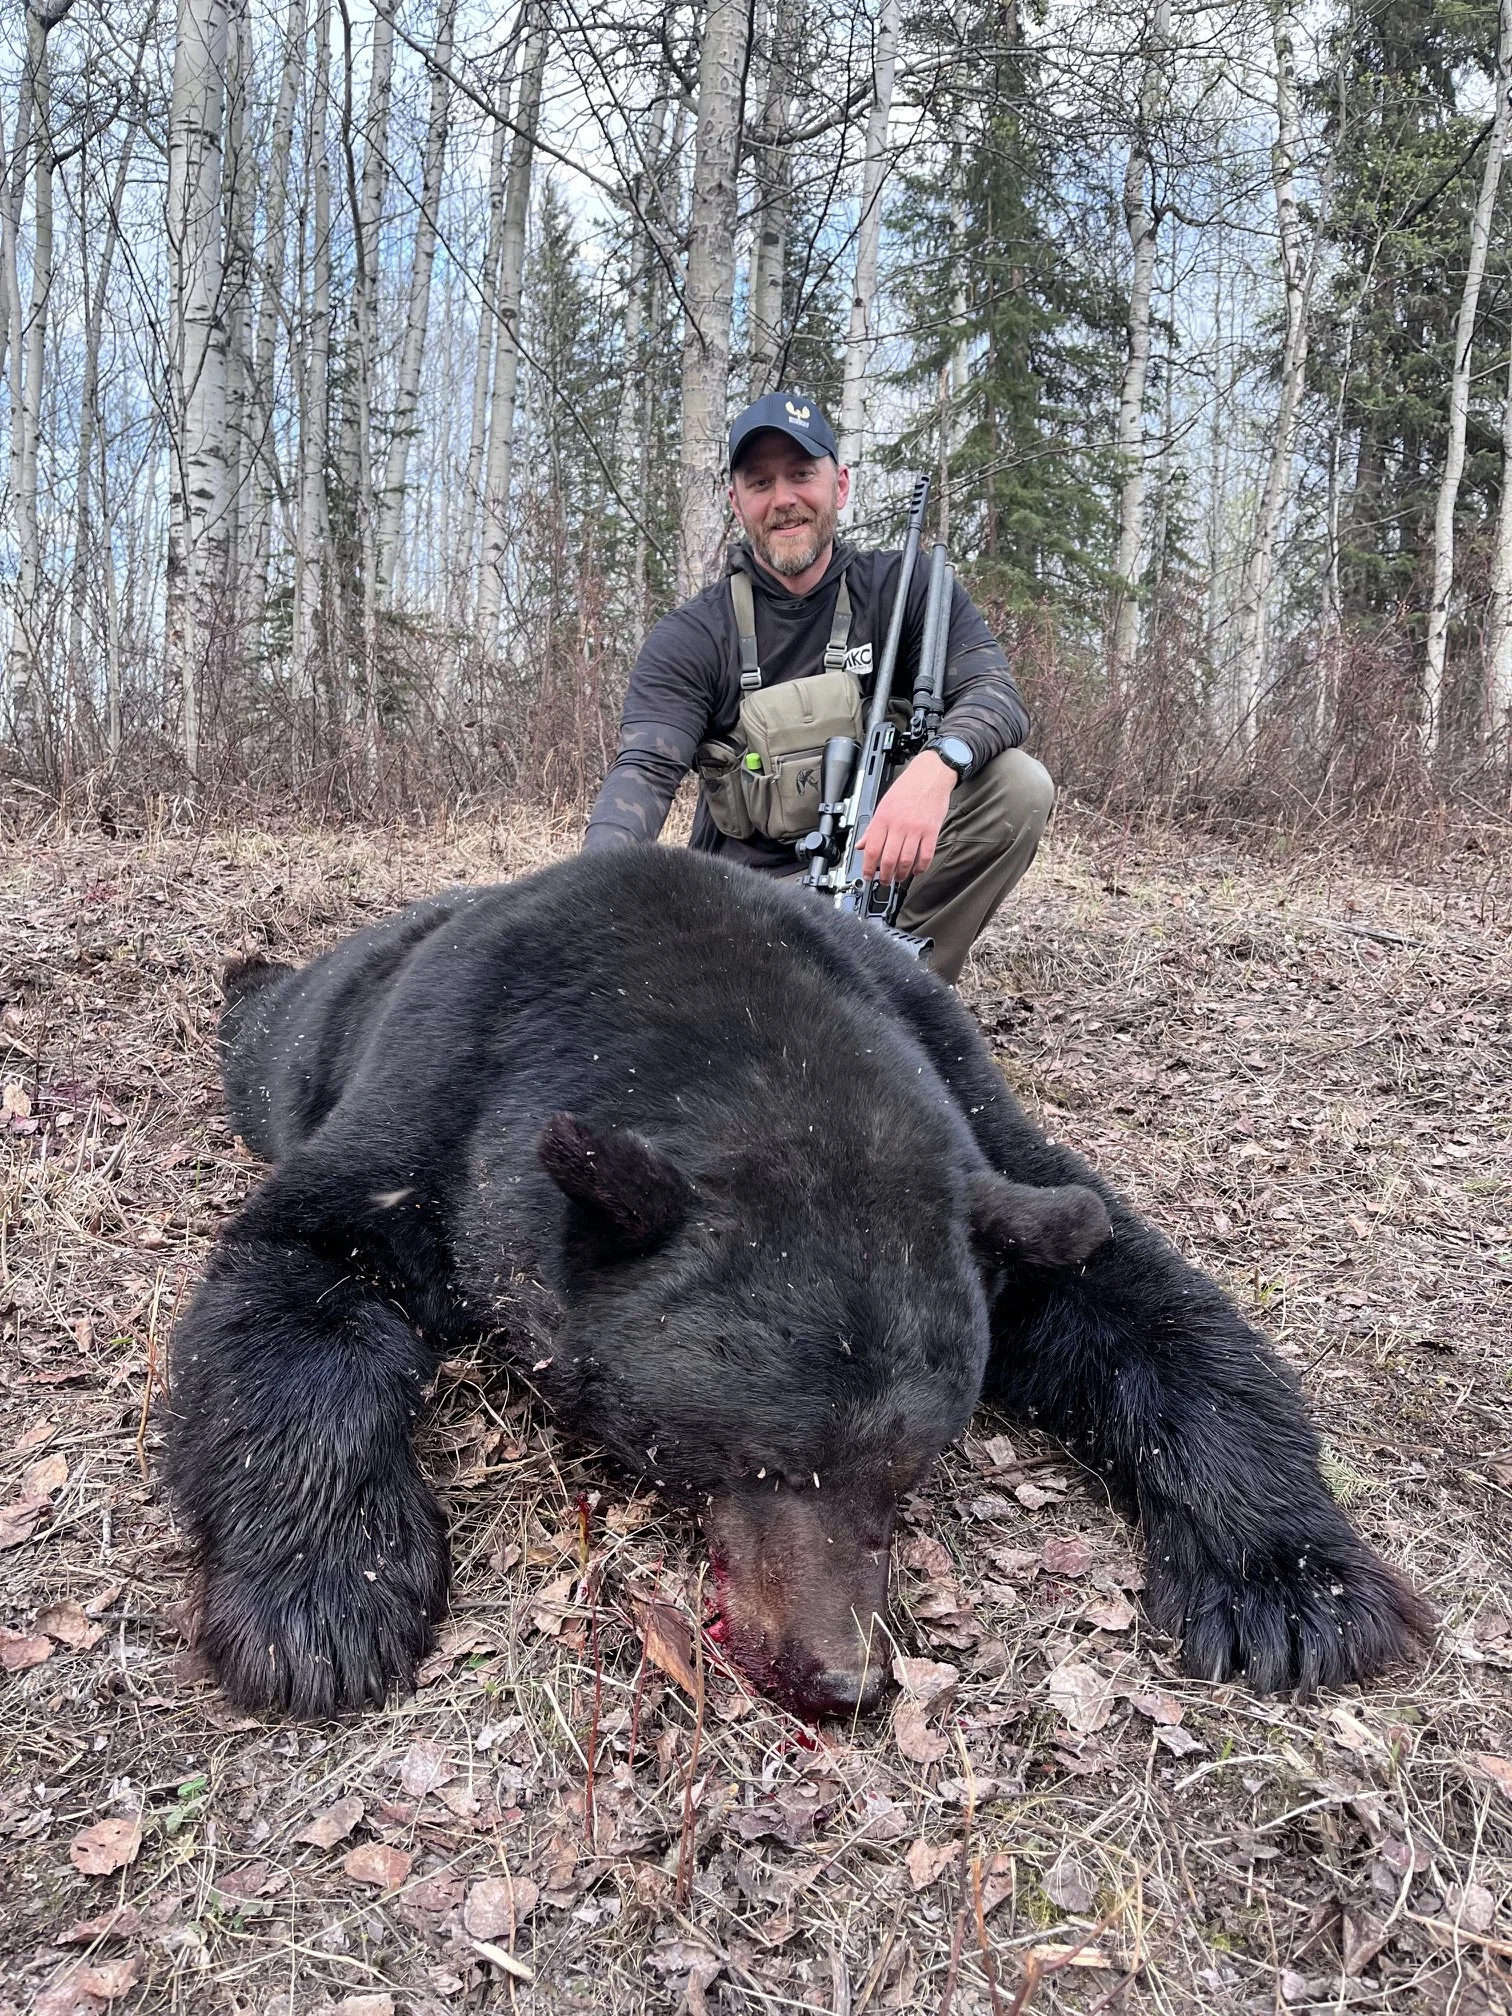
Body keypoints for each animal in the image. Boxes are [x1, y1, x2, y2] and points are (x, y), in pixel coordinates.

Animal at [166, 846, 1430, 1721]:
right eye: (753, 1458)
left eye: (910, 1469)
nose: (846, 1681)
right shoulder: (441, 1105)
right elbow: (292, 1275)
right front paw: (327, 1599)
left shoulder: (975, 1129)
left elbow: (1137, 1294)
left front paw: (1296, 1584)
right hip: (304, 1037)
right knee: (262, 1026)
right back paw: (244, 967)